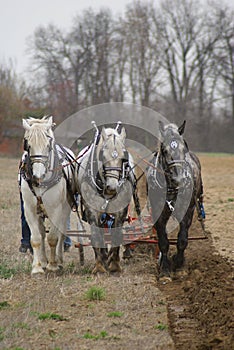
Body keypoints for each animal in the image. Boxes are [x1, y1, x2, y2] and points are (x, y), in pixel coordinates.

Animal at [20, 116, 75, 274]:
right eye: (28, 145)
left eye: (48, 145)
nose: (38, 175)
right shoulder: (30, 209)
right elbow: (36, 238)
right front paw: (37, 267)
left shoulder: (55, 209)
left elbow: (53, 238)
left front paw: (53, 265)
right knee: (42, 233)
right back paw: (43, 261)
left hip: (65, 209)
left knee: (61, 233)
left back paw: (58, 260)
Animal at [148, 120, 205, 282]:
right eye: (164, 150)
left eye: (184, 147)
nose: (180, 179)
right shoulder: (158, 213)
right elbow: (163, 241)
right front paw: (165, 270)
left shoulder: (187, 210)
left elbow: (182, 239)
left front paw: (179, 266)